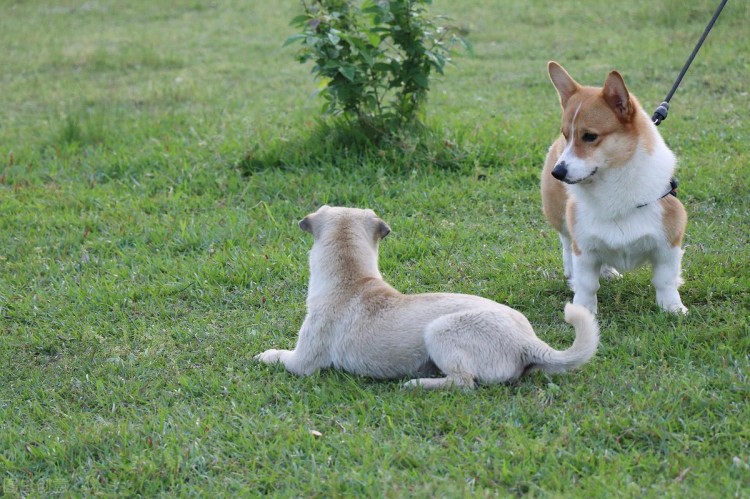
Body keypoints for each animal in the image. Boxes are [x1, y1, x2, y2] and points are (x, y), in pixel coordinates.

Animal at [256, 207, 604, 390]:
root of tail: (527, 342)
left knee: (464, 382)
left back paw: (417, 384)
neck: (352, 280)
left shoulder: (303, 362)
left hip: (439, 331)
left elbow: (280, 356)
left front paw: (264, 355)